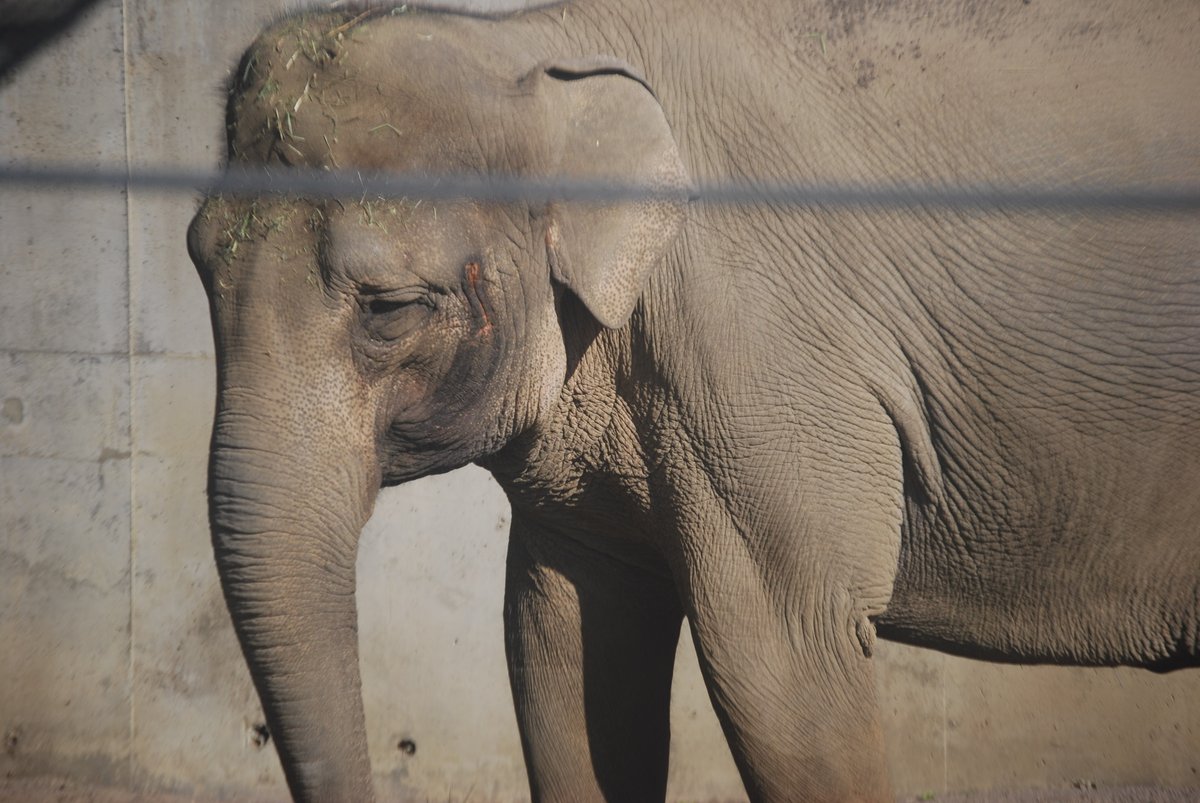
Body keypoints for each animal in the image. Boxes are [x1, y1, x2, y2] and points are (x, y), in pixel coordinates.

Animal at [187, 0, 1200, 796]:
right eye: (197, 261)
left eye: (389, 307)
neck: (535, 45)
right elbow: (560, 654)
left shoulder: (765, 356)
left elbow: (781, 666)